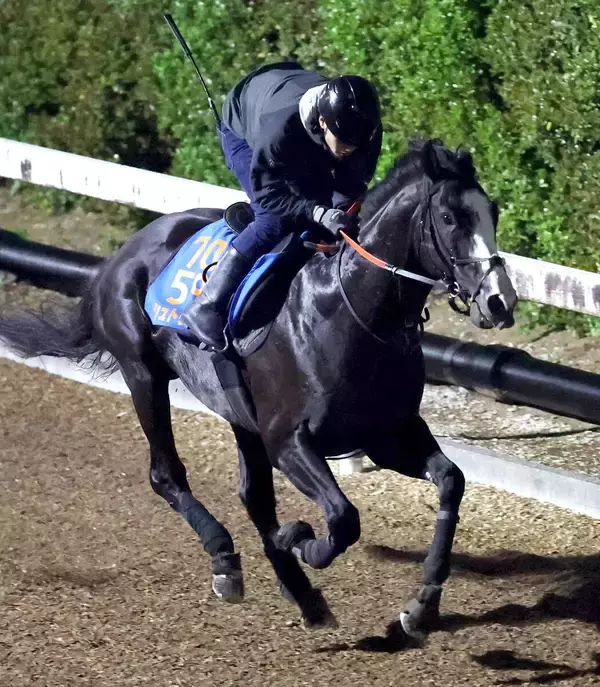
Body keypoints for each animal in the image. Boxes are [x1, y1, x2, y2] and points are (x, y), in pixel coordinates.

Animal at [0, 139, 517, 637]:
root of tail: (121, 255)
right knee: (167, 475)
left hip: (238, 414)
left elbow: (451, 481)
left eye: (492, 211)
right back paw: (225, 558)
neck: (350, 312)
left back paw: (303, 595)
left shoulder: (387, 434)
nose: (500, 301)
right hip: (143, 374)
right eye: (449, 217)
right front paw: (300, 539)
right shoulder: (287, 440)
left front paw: (424, 604)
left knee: (255, 498)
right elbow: (342, 518)